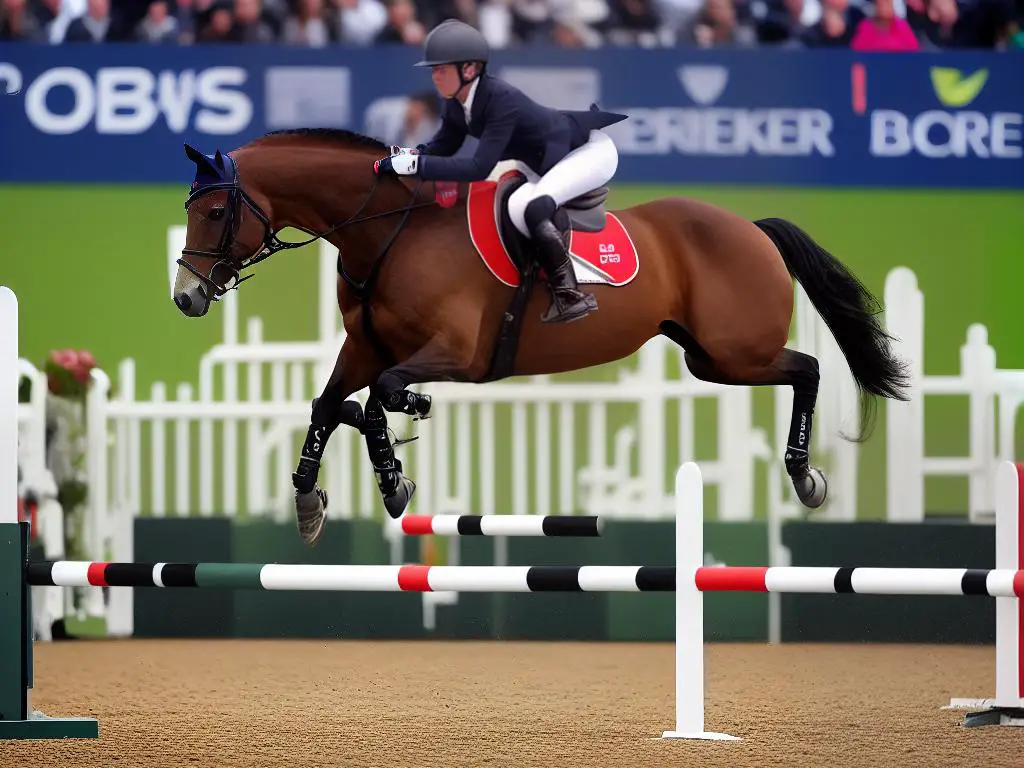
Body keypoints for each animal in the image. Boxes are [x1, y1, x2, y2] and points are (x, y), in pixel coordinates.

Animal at [172, 131, 909, 548]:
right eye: (190, 209)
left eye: (216, 210)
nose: (186, 297)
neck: (390, 230)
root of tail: (751, 227)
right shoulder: (366, 345)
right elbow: (333, 405)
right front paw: (314, 497)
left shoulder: (456, 354)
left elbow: (384, 394)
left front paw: (395, 461)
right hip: (711, 359)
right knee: (801, 368)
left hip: (733, 351)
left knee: (808, 369)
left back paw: (804, 477)